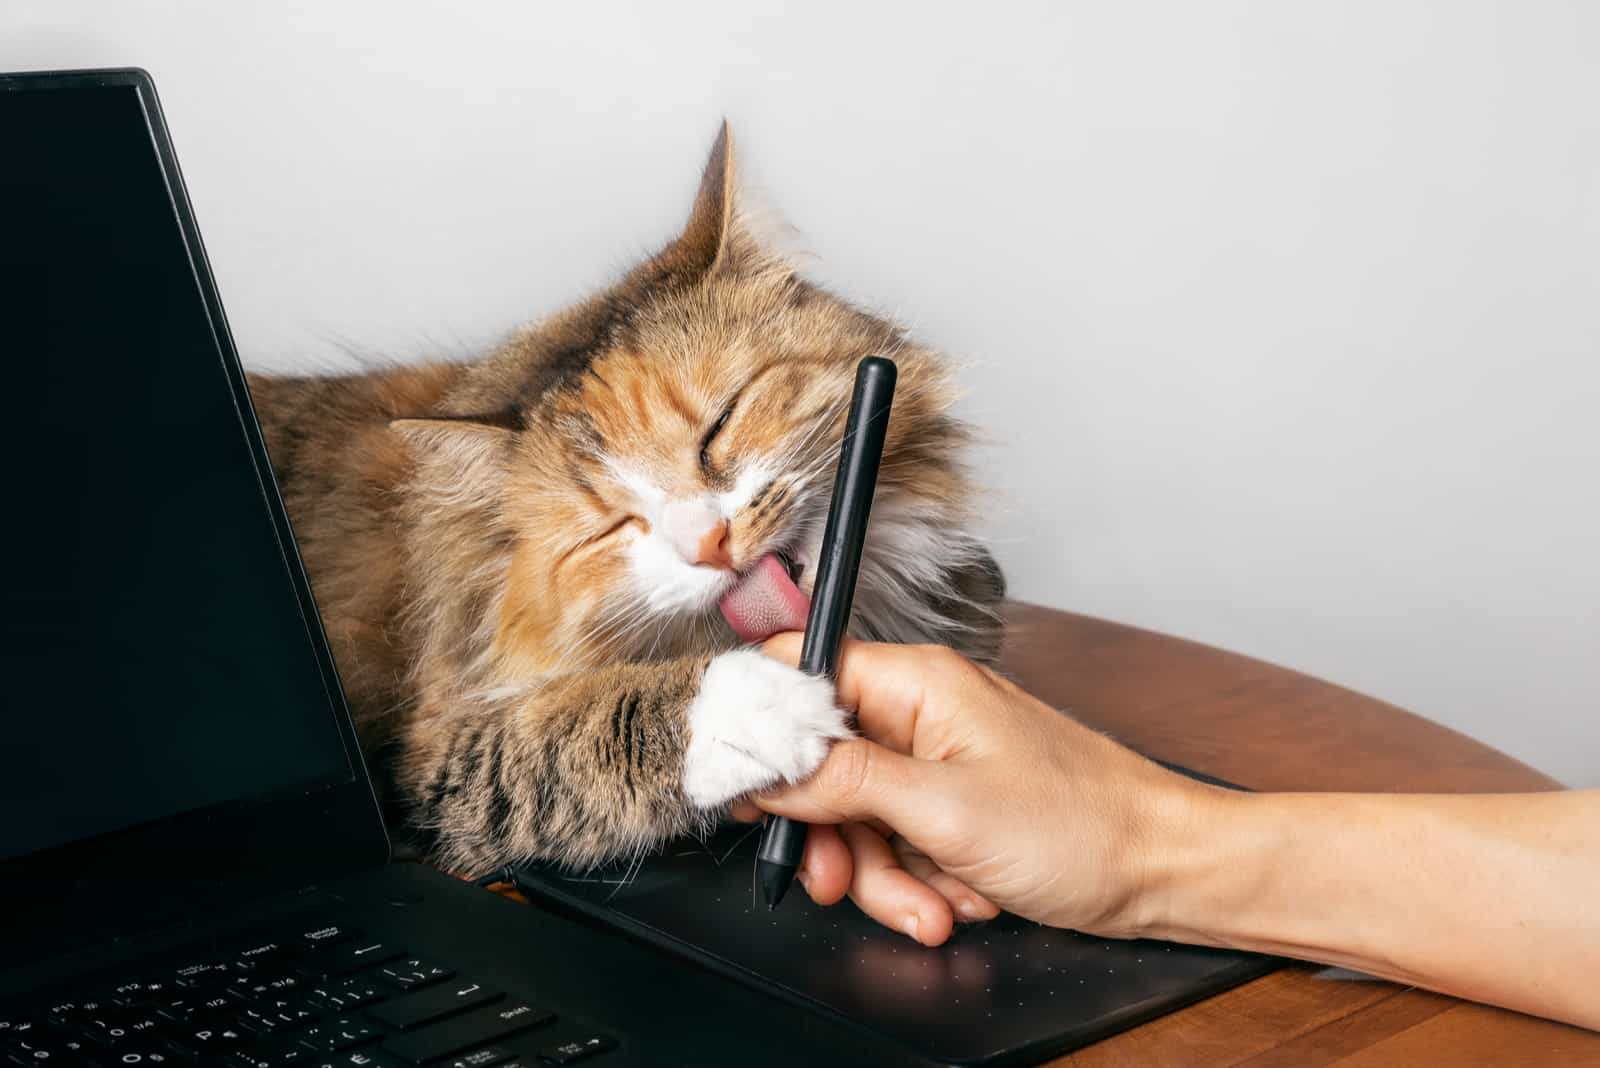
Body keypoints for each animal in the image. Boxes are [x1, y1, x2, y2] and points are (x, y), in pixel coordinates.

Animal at [246, 125, 998, 876]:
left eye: (718, 428)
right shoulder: (439, 750)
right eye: (612, 528)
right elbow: (583, 725)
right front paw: (756, 707)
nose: (710, 544)